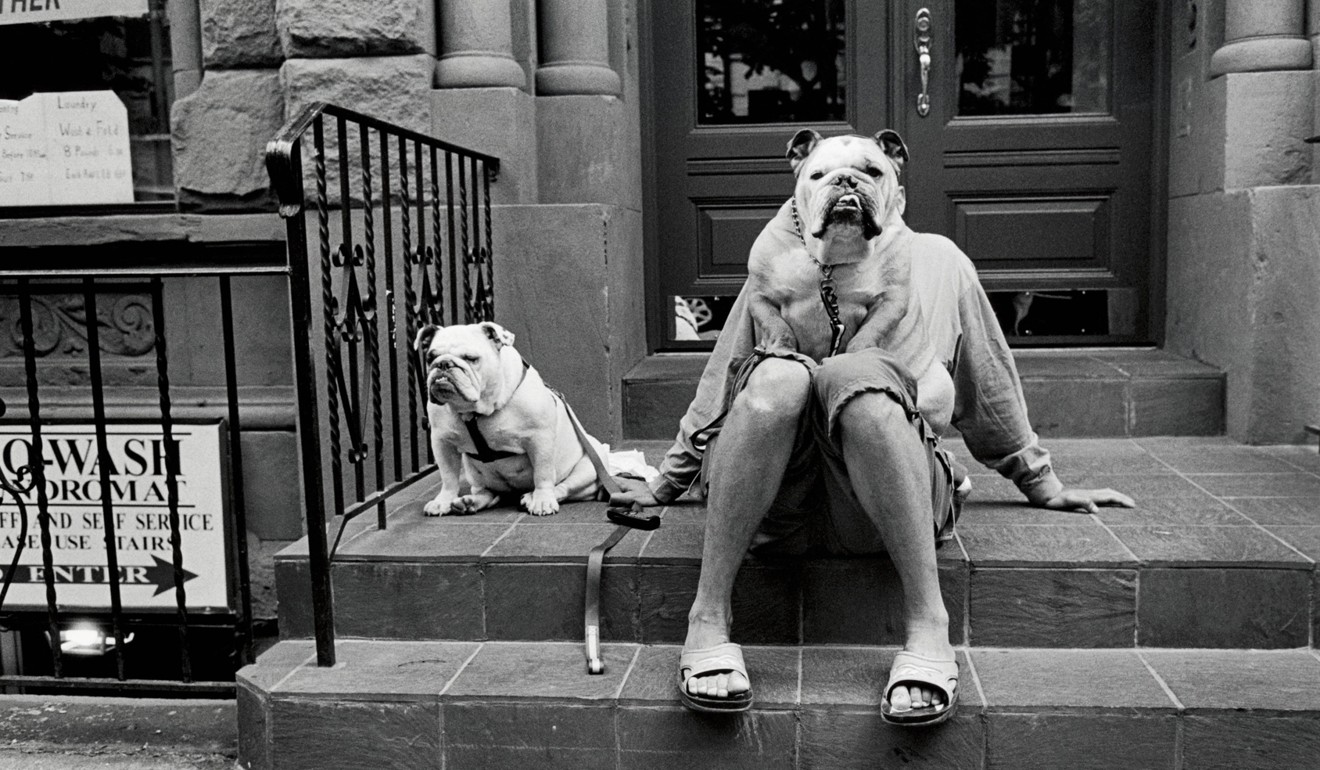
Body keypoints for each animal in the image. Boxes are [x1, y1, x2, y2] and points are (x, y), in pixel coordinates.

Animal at [417, 322, 604, 515]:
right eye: (430, 358)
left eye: (471, 358)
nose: (443, 363)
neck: (476, 411)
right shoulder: (442, 442)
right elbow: (448, 477)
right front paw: (443, 501)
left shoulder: (540, 439)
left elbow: (542, 474)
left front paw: (542, 500)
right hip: (474, 475)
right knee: (488, 493)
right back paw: (469, 502)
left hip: (590, 465)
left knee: (563, 488)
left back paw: (532, 497)